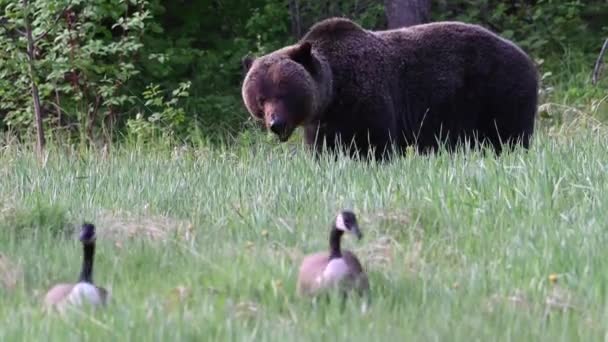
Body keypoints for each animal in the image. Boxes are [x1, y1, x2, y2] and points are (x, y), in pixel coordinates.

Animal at [240, 17, 540, 159]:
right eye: (260, 99)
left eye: (284, 93)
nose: (276, 123)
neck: (334, 94)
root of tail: (526, 56)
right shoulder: (321, 124)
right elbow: (324, 151)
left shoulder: (368, 100)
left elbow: (376, 143)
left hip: (499, 90)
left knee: (509, 135)